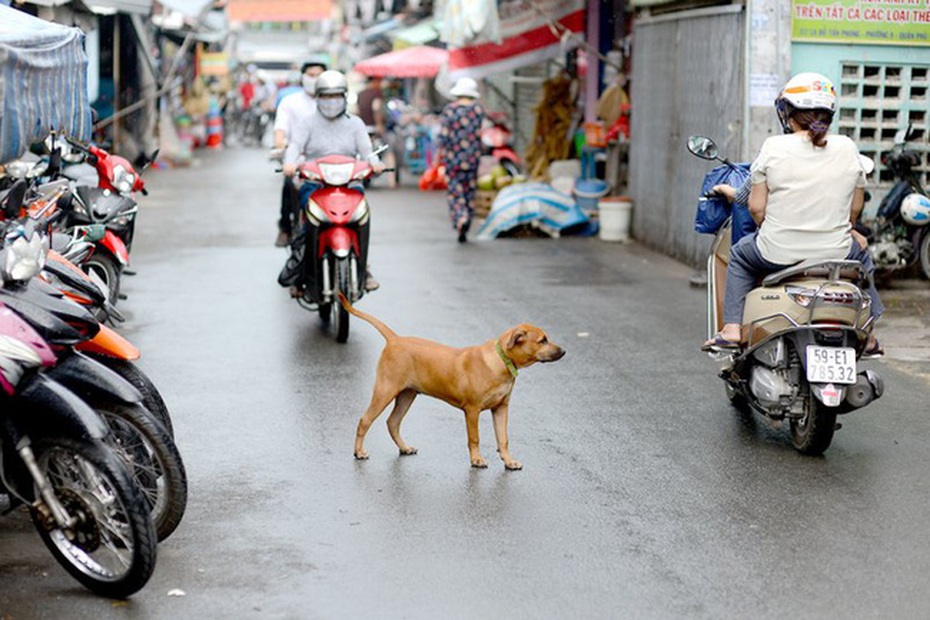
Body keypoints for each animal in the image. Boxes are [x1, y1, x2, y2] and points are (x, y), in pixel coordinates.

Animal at [338, 296, 560, 470]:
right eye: (542, 340)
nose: (564, 351)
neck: (500, 360)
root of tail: (395, 339)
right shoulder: (472, 410)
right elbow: (474, 438)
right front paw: (477, 460)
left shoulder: (501, 408)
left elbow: (503, 438)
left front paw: (509, 461)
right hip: (385, 390)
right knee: (365, 420)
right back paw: (359, 452)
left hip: (407, 394)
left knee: (393, 422)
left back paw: (404, 448)